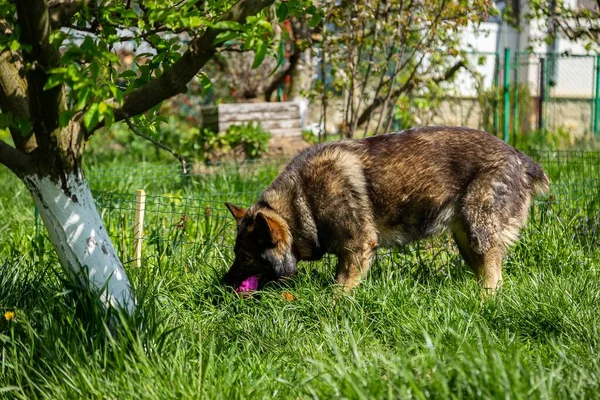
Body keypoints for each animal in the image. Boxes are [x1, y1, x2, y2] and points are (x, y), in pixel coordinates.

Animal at [221, 126, 548, 292]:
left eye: (246, 256)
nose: (223, 284)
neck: (301, 200)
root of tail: (520, 157)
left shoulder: (357, 247)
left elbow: (340, 287)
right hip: (465, 238)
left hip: (479, 228)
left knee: (493, 274)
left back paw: (484, 301)